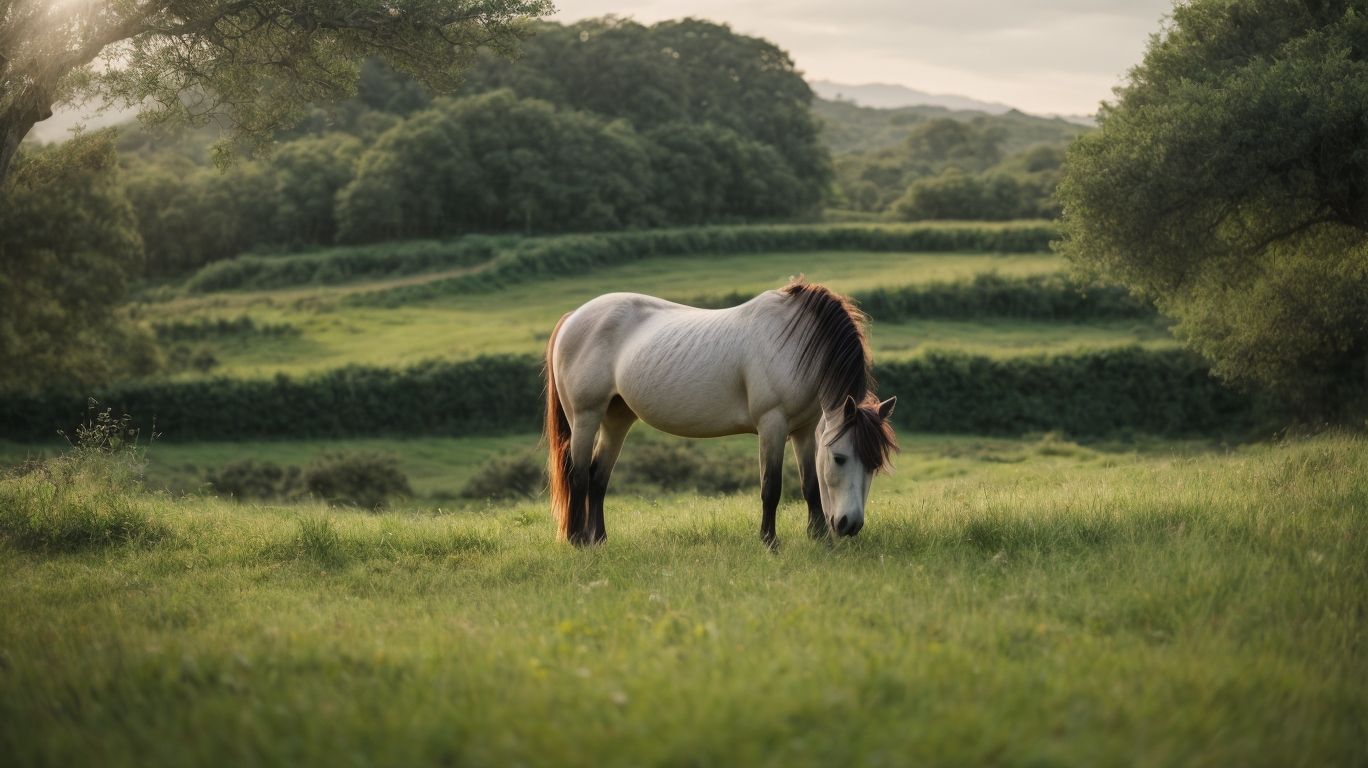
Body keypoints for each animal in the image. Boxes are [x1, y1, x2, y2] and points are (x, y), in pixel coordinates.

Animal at [544, 278, 898, 547]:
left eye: (875, 463)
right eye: (840, 458)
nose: (850, 525)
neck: (797, 344)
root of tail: (574, 316)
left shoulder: (805, 429)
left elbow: (810, 484)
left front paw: (819, 539)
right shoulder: (772, 424)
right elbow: (771, 486)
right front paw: (769, 542)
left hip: (617, 418)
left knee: (598, 476)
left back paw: (600, 541)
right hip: (586, 417)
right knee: (578, 475)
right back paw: (577, 540)